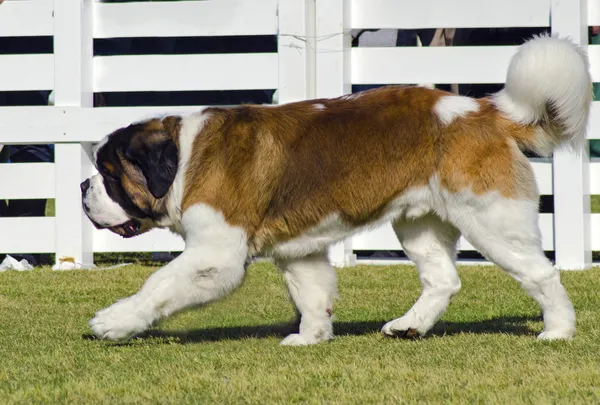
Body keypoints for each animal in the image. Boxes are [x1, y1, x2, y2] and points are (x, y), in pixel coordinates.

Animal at [83, 35, 592, 344]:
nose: (83, 186)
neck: (184, 157)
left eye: (109, 174)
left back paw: (558, 330)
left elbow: (160, 284)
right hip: (420, 222)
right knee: (442, 279)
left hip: (490, 218)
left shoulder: (214, 255)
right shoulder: (298, 250)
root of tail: (480, 109)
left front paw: (114, 321)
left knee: (541, 273)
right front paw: (310, 337)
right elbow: (312, 291)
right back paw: (410, 325)